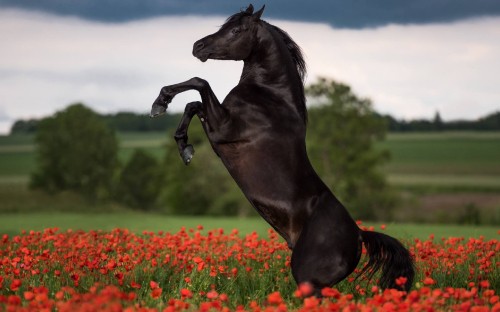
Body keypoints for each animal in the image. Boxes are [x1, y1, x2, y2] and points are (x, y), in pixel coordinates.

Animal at [149, 3, 414, 294]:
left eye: (237, 30)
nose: (198, 46)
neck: (270, 96)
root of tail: (358, 235)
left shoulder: (223, 129)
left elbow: (200, 83)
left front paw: (160, 102)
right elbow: (193, 105)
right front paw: (184, 146)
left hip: (307, 277)